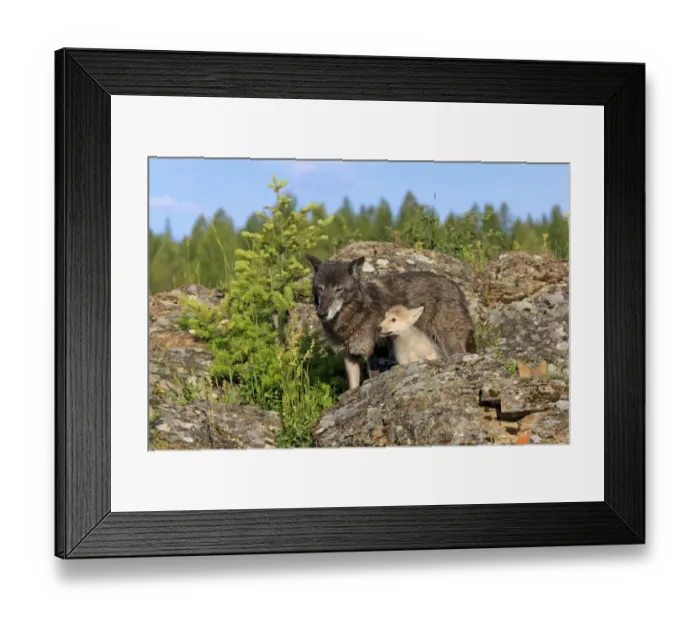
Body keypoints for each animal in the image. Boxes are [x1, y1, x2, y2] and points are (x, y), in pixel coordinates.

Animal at [306, 254, 477, 389]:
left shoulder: (372, 356)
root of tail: (456, 288)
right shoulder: (350, 357)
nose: (322, 313)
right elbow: (353, 387)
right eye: (320, 288)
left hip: (450, 344)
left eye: (339, 289)